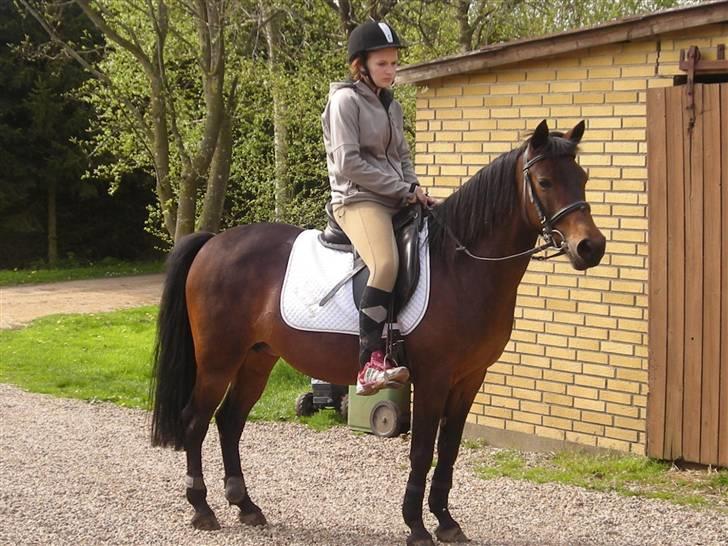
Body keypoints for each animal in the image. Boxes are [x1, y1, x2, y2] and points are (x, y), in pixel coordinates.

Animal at [150, 119, 606, 546]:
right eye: (544, 181)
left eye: (583, 177)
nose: (591, 247)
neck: (461, 266)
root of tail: (214, 242)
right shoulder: (433, 378)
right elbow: (421, 451)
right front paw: (416, 526)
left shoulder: (469, 379)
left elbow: (449, 448)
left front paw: (446, 522)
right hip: (217, 360)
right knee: (195, 421)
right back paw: (202, 508)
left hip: (257, 358)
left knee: (229, 421)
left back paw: (245, 505)